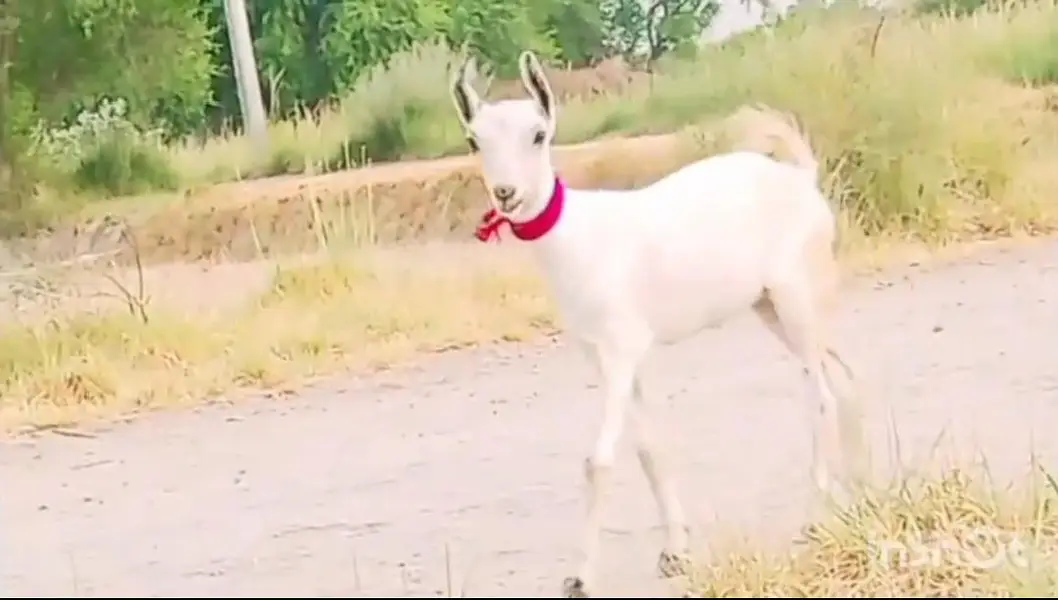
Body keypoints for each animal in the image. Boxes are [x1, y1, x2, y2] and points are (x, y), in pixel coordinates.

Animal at [450, 51, 868, 598]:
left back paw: (817, 515)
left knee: (819, 395)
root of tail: (802, 177)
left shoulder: (620, 349)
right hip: (776, 307)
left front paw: (580, 578)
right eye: (474, 140)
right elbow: (650, 448)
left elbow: (599, 461)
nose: (506, 193)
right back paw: (862, 493)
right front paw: (675, 550)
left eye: (539, 134)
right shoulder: (613, 356)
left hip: (795, 297)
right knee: (845, 375)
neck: (579, 239)